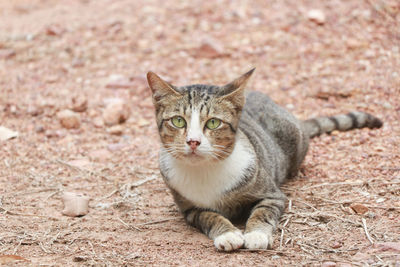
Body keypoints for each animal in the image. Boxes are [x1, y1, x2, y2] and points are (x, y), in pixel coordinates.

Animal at [145, 68, 382, 251]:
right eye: (178, 121)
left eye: (213, 123)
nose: (193, 141)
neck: (204, 170)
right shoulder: (190, 209)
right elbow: (210, 217)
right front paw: (227, 234)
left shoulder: (272, 195)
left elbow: (262, 212)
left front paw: (256, 234)